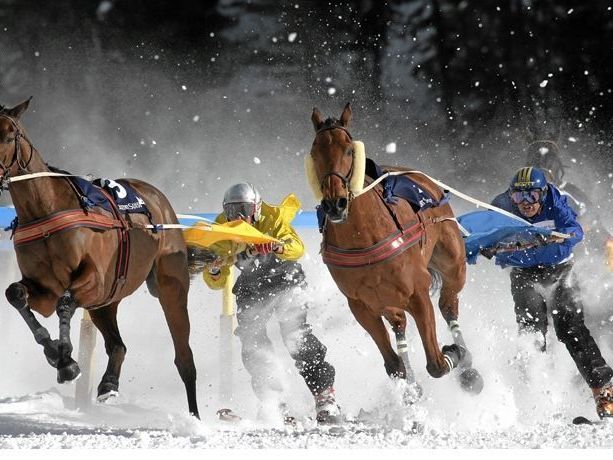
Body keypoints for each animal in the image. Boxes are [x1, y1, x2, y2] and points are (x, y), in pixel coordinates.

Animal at [0, 99, 200, 418]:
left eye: (9, 136)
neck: (46, 211)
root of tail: (159, 200)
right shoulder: (44, 289)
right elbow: (17, 294)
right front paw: (56, 354)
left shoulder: (96, 280)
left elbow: (65, 303)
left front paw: (67, 362)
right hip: (106, 302)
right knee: (118, 346)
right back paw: (108, 383)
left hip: (170, 286)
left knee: (184, 358)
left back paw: (194, 416)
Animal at [306, 103, 482, 398]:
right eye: (314, 152)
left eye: (349, 150)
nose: (334, 203)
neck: (364, 237)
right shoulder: (361, 305)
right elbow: (393, 365)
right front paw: (409, 387)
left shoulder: (417, 291)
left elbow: (436, 364)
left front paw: (454, 354)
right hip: (386, 299)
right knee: (399, 323)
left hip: (452, 262)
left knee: (448, 305)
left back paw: (468, 367)